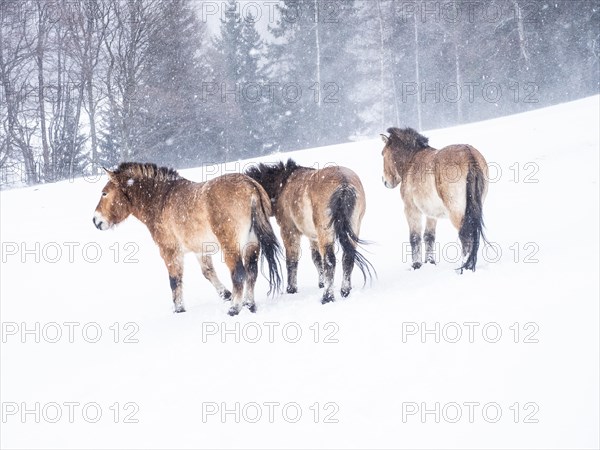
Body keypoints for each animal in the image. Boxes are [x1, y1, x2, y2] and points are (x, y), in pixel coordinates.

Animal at [92, 163, 284, 316]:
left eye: (104, 193)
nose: (95, 220)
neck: (160, 199)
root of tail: (250, 186)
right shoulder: (200, 250)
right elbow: (208, 272)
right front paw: (225, 294)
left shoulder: (170, 252)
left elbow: (174, 280)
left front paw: (179, 309)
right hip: (252, 244)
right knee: (251, 272)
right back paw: (249, 305)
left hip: (232, 246)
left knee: (239, 274)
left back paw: (234, 309)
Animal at [246, 160, 372, 304]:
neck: (283, 185)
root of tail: (344, 184)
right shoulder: (313, 237)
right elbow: (316, 258)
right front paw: (321, 283)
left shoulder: (289, 232)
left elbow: (292, 259)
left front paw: (291, 289)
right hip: (353, 228)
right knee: (348, 257)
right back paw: (345, 291)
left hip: (325, 233)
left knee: (330, 261)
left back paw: (327, 297)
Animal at [382, 128, 490, 272]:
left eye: (382, 154)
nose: (385, 181)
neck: (411, 160)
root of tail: (469, 154)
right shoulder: (431, 213)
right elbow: (429, 237)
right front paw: (429, 262)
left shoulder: (411, 209)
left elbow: (415, 237)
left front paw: (416, 265)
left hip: (457, 212)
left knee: (466, 236)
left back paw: (463, 267)